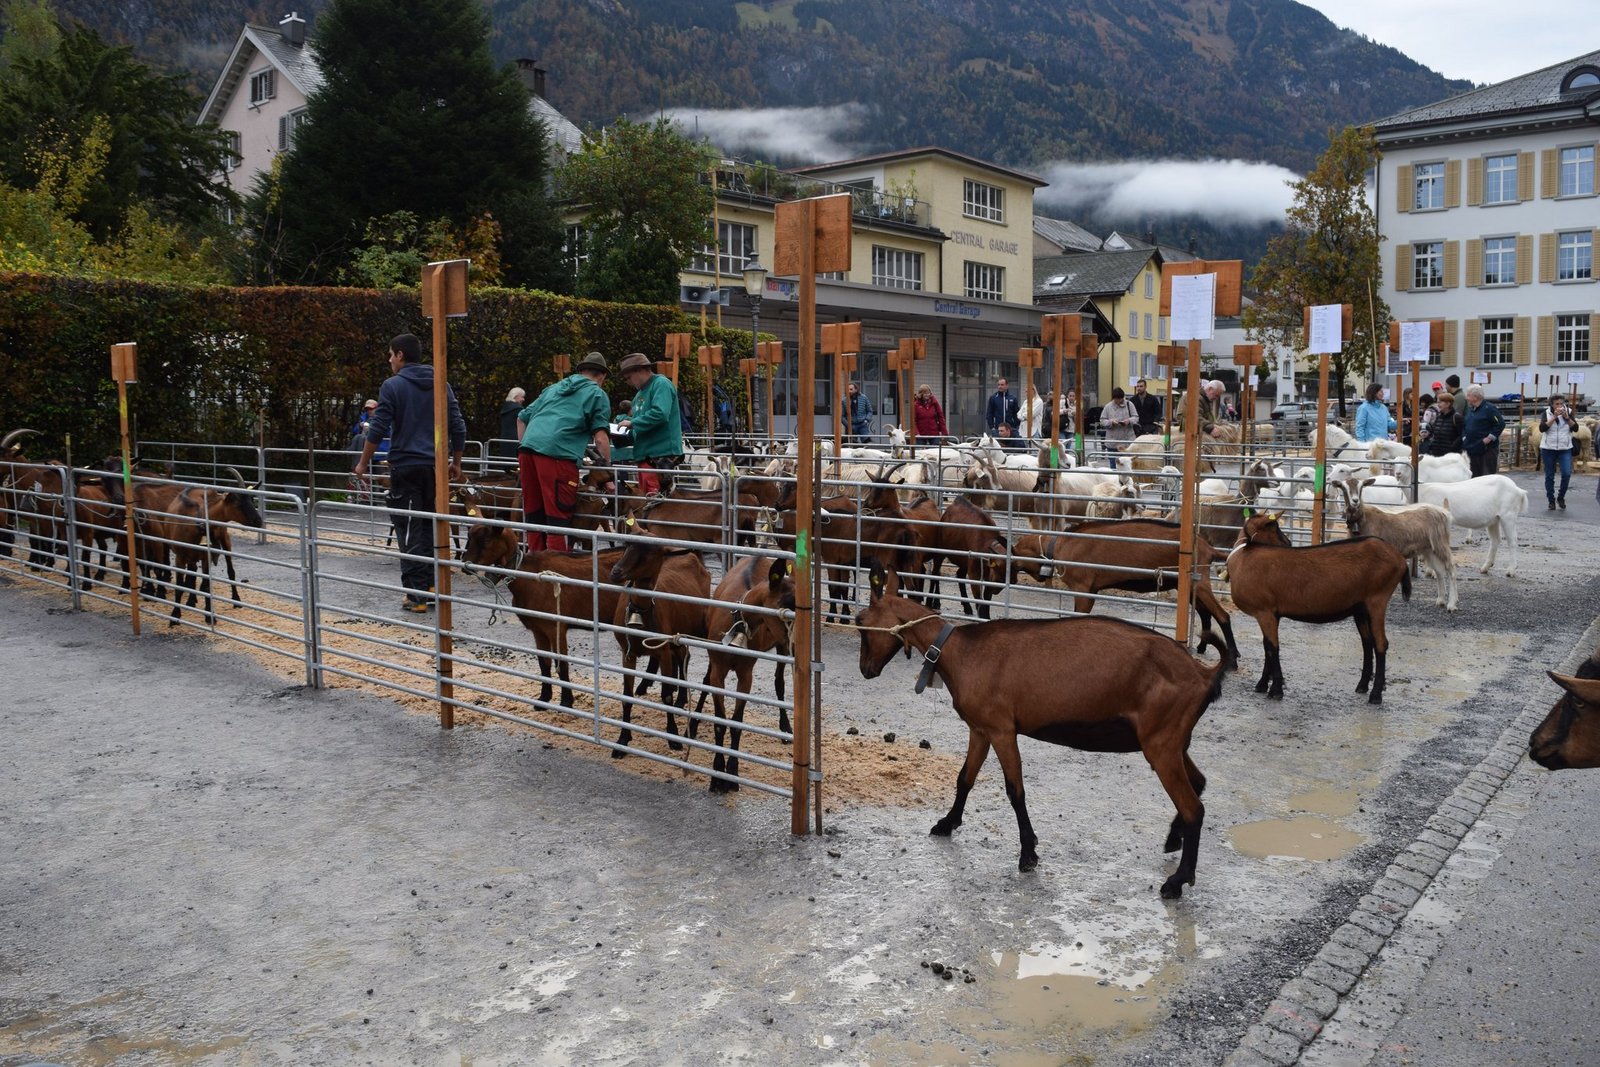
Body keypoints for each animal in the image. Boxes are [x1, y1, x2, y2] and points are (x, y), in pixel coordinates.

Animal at [608, 539, 711, 756]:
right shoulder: (627, 654)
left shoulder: (663, 650)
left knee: (683, 658)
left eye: (651, 550)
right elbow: (627, 696)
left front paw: (673, 738)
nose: (616, 572)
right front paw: (622, 739)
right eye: (626, 545)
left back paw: (680, 698)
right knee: (681, 657)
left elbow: (666, 697)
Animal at [855, 562, 1228, 896]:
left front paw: (1028, 854)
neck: (958, 651)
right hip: (1172, 740)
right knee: (1198, 783)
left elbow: (1015, 790)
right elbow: (965, 779)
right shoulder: (980, 729)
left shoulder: (1002, 729)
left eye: (860, 622)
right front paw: (947, 824)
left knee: (1194, 807)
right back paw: (1173, 839)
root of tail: (1203, 674)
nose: (865, 670)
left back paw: (1178, 881)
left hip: (1161, 743)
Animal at [1226, 513, 1410, 704]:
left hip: (1377, 600)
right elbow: (1266, 646)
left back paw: (1375, 695)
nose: (1288, 543)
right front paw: (1263, 684)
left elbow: (1272, 647)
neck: (1243, 556)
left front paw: (1275, 690)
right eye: (1273, 526)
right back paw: (1363, 686)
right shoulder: (1271, 613)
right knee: (1368, 643)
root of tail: (1400, 559)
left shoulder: (1265, 612)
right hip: (1361, 608)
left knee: (1381, 643)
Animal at [1336, 482, 1457, 611]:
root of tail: (1444, 512)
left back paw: (1451, 605)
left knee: (1451, 569)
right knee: (1439, 571)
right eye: (1343, 488)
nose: (1355, 501)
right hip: (1430, 549)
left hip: (1441, 544)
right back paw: (1441, 601)